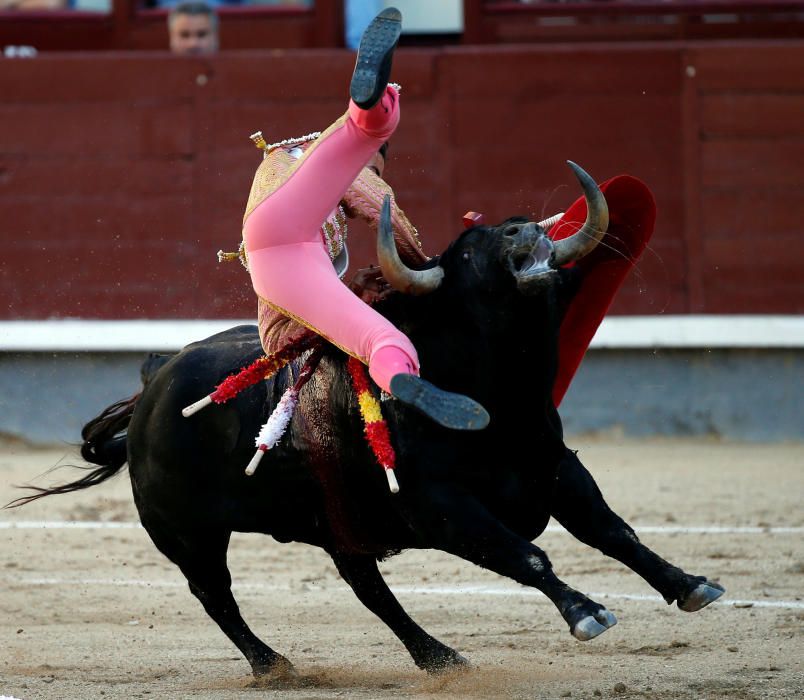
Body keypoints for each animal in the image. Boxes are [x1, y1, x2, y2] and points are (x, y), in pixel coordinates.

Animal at [9, 167, 724, 680]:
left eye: (515, 230)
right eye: (469, 257)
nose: (525, 233)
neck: (501, 402)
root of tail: (154, 383)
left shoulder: (557, 470)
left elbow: (615, 532)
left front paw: (689, 585)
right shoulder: (441, 506)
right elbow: (528, 554)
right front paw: (586, 612)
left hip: (334, 524)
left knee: (366, 589)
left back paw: (439, 658)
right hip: (186, 532)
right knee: (217, 594)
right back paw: (275, 665)